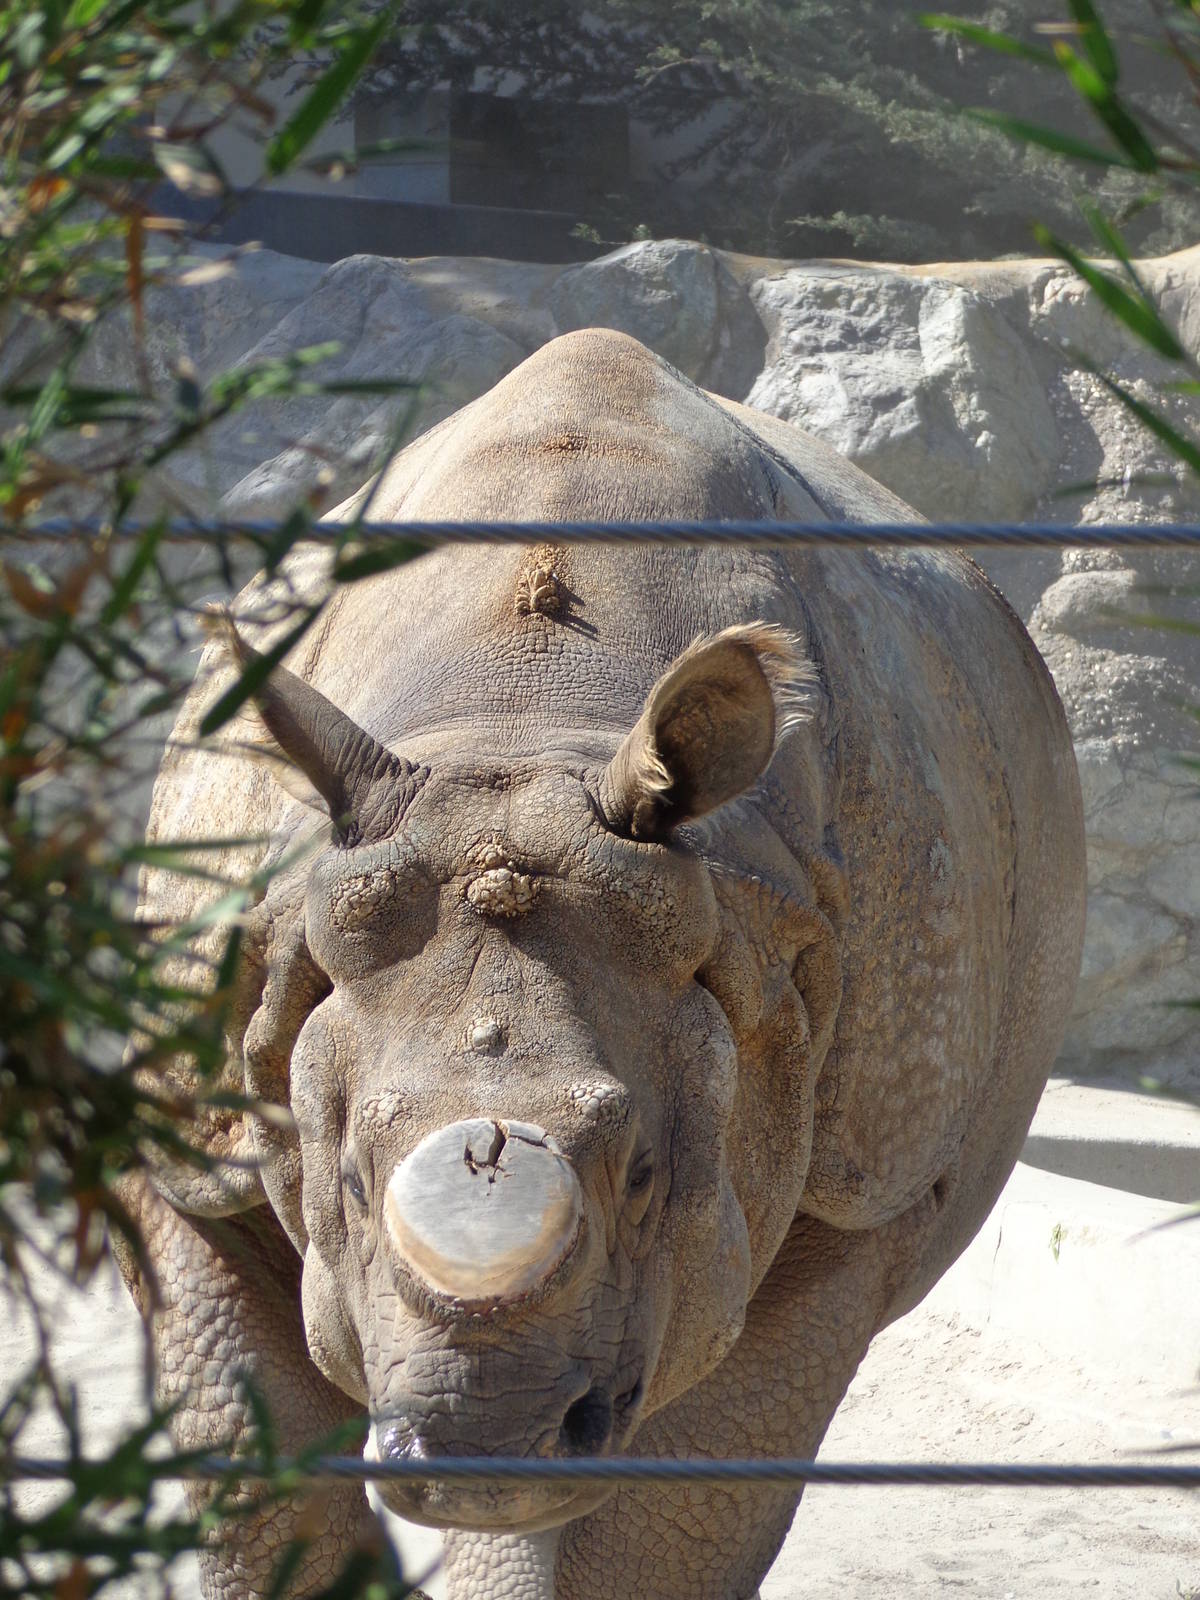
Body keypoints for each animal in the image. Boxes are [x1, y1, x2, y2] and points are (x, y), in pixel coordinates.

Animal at [121, 328, 1086, 1600]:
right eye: (347, 1183)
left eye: (644, 1175)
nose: (480, 1441)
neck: (521, 725)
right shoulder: (207, 1113)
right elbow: (260, 1487)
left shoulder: (864, 1166)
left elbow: (666, 1516)